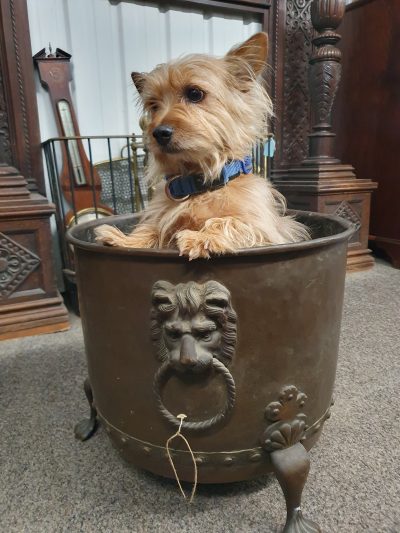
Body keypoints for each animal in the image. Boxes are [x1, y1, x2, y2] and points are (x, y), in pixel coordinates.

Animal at [94, 31, 310, 260]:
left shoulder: (270, 232)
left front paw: (202, 237)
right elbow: (151, 228)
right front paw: (125, 239)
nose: (159, 133)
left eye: (195, 94)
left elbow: (232, 221)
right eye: (153, 105)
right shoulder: (161, 217)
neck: (200, 185)